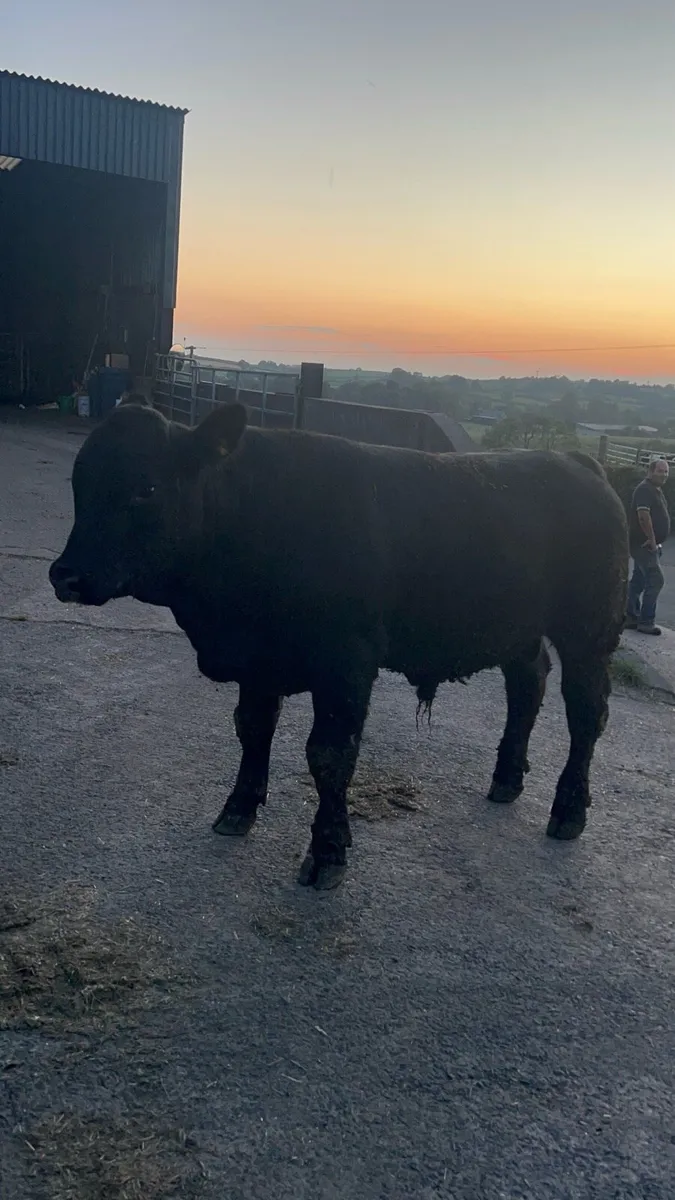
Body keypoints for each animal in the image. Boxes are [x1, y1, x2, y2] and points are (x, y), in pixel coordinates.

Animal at [50, 398, 628, 889]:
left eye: (145, 488)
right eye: (79, 484)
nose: (66, 575)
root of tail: (576, 460)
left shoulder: (346, 663)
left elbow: (329, 756)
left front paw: (327, 851)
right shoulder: (259, 661)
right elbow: (252, 731)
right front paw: (237, 810)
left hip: (590, 632)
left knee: (586, 713)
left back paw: (568, 810)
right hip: (518, 630)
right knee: (528, 687)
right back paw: (506, 779)